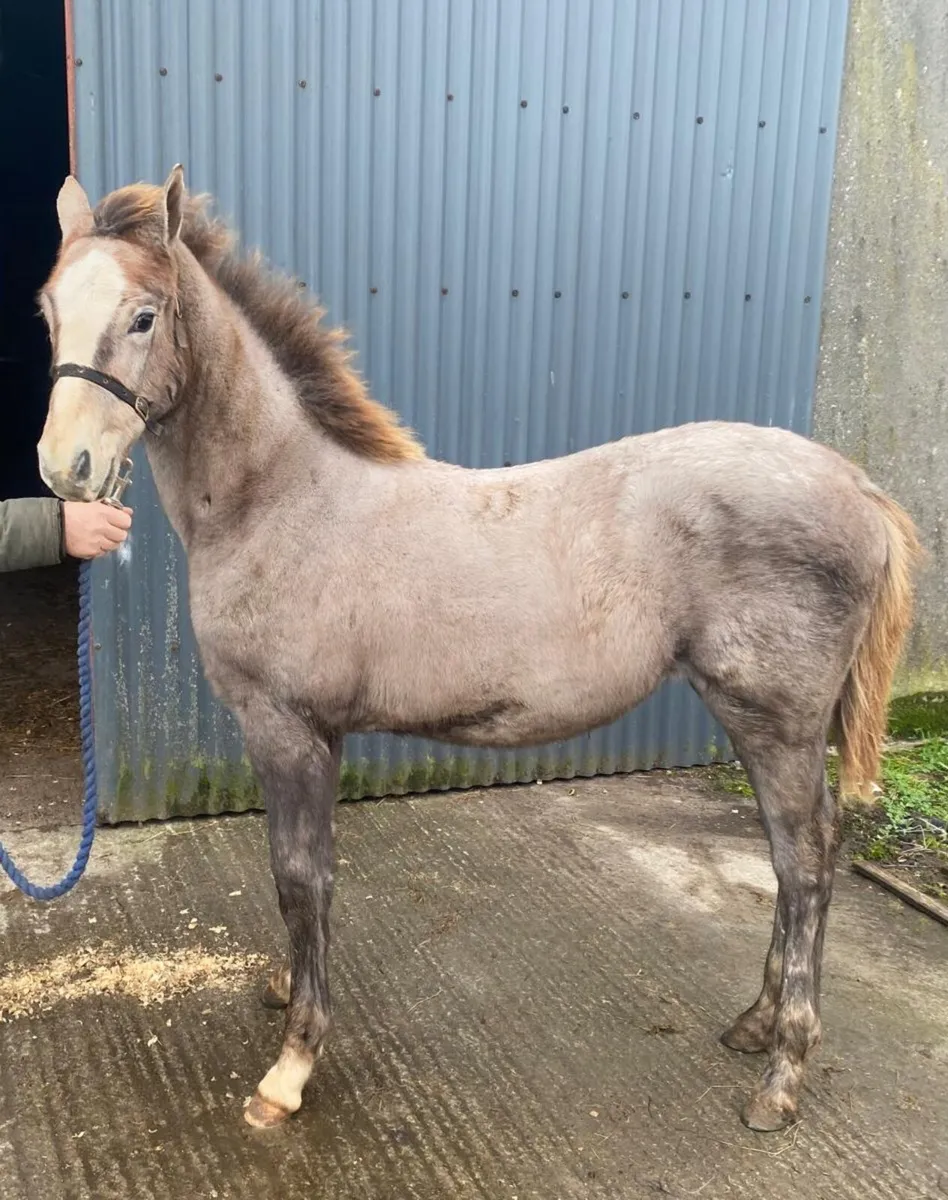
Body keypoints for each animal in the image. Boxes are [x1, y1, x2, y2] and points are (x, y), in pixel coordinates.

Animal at [36, 166, 921, 1134]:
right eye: (49, 309)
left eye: (144, 315)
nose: (64, 469)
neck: (282, 498)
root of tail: (859, 486)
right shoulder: (316, 734)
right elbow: (310, 874)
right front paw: (285, 990)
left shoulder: (286, 729)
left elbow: (299, 876)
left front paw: (291, 1067)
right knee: (794, 856)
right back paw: (756, 1025)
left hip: (776, 722)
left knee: (804, 864)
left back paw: (782, 1076)